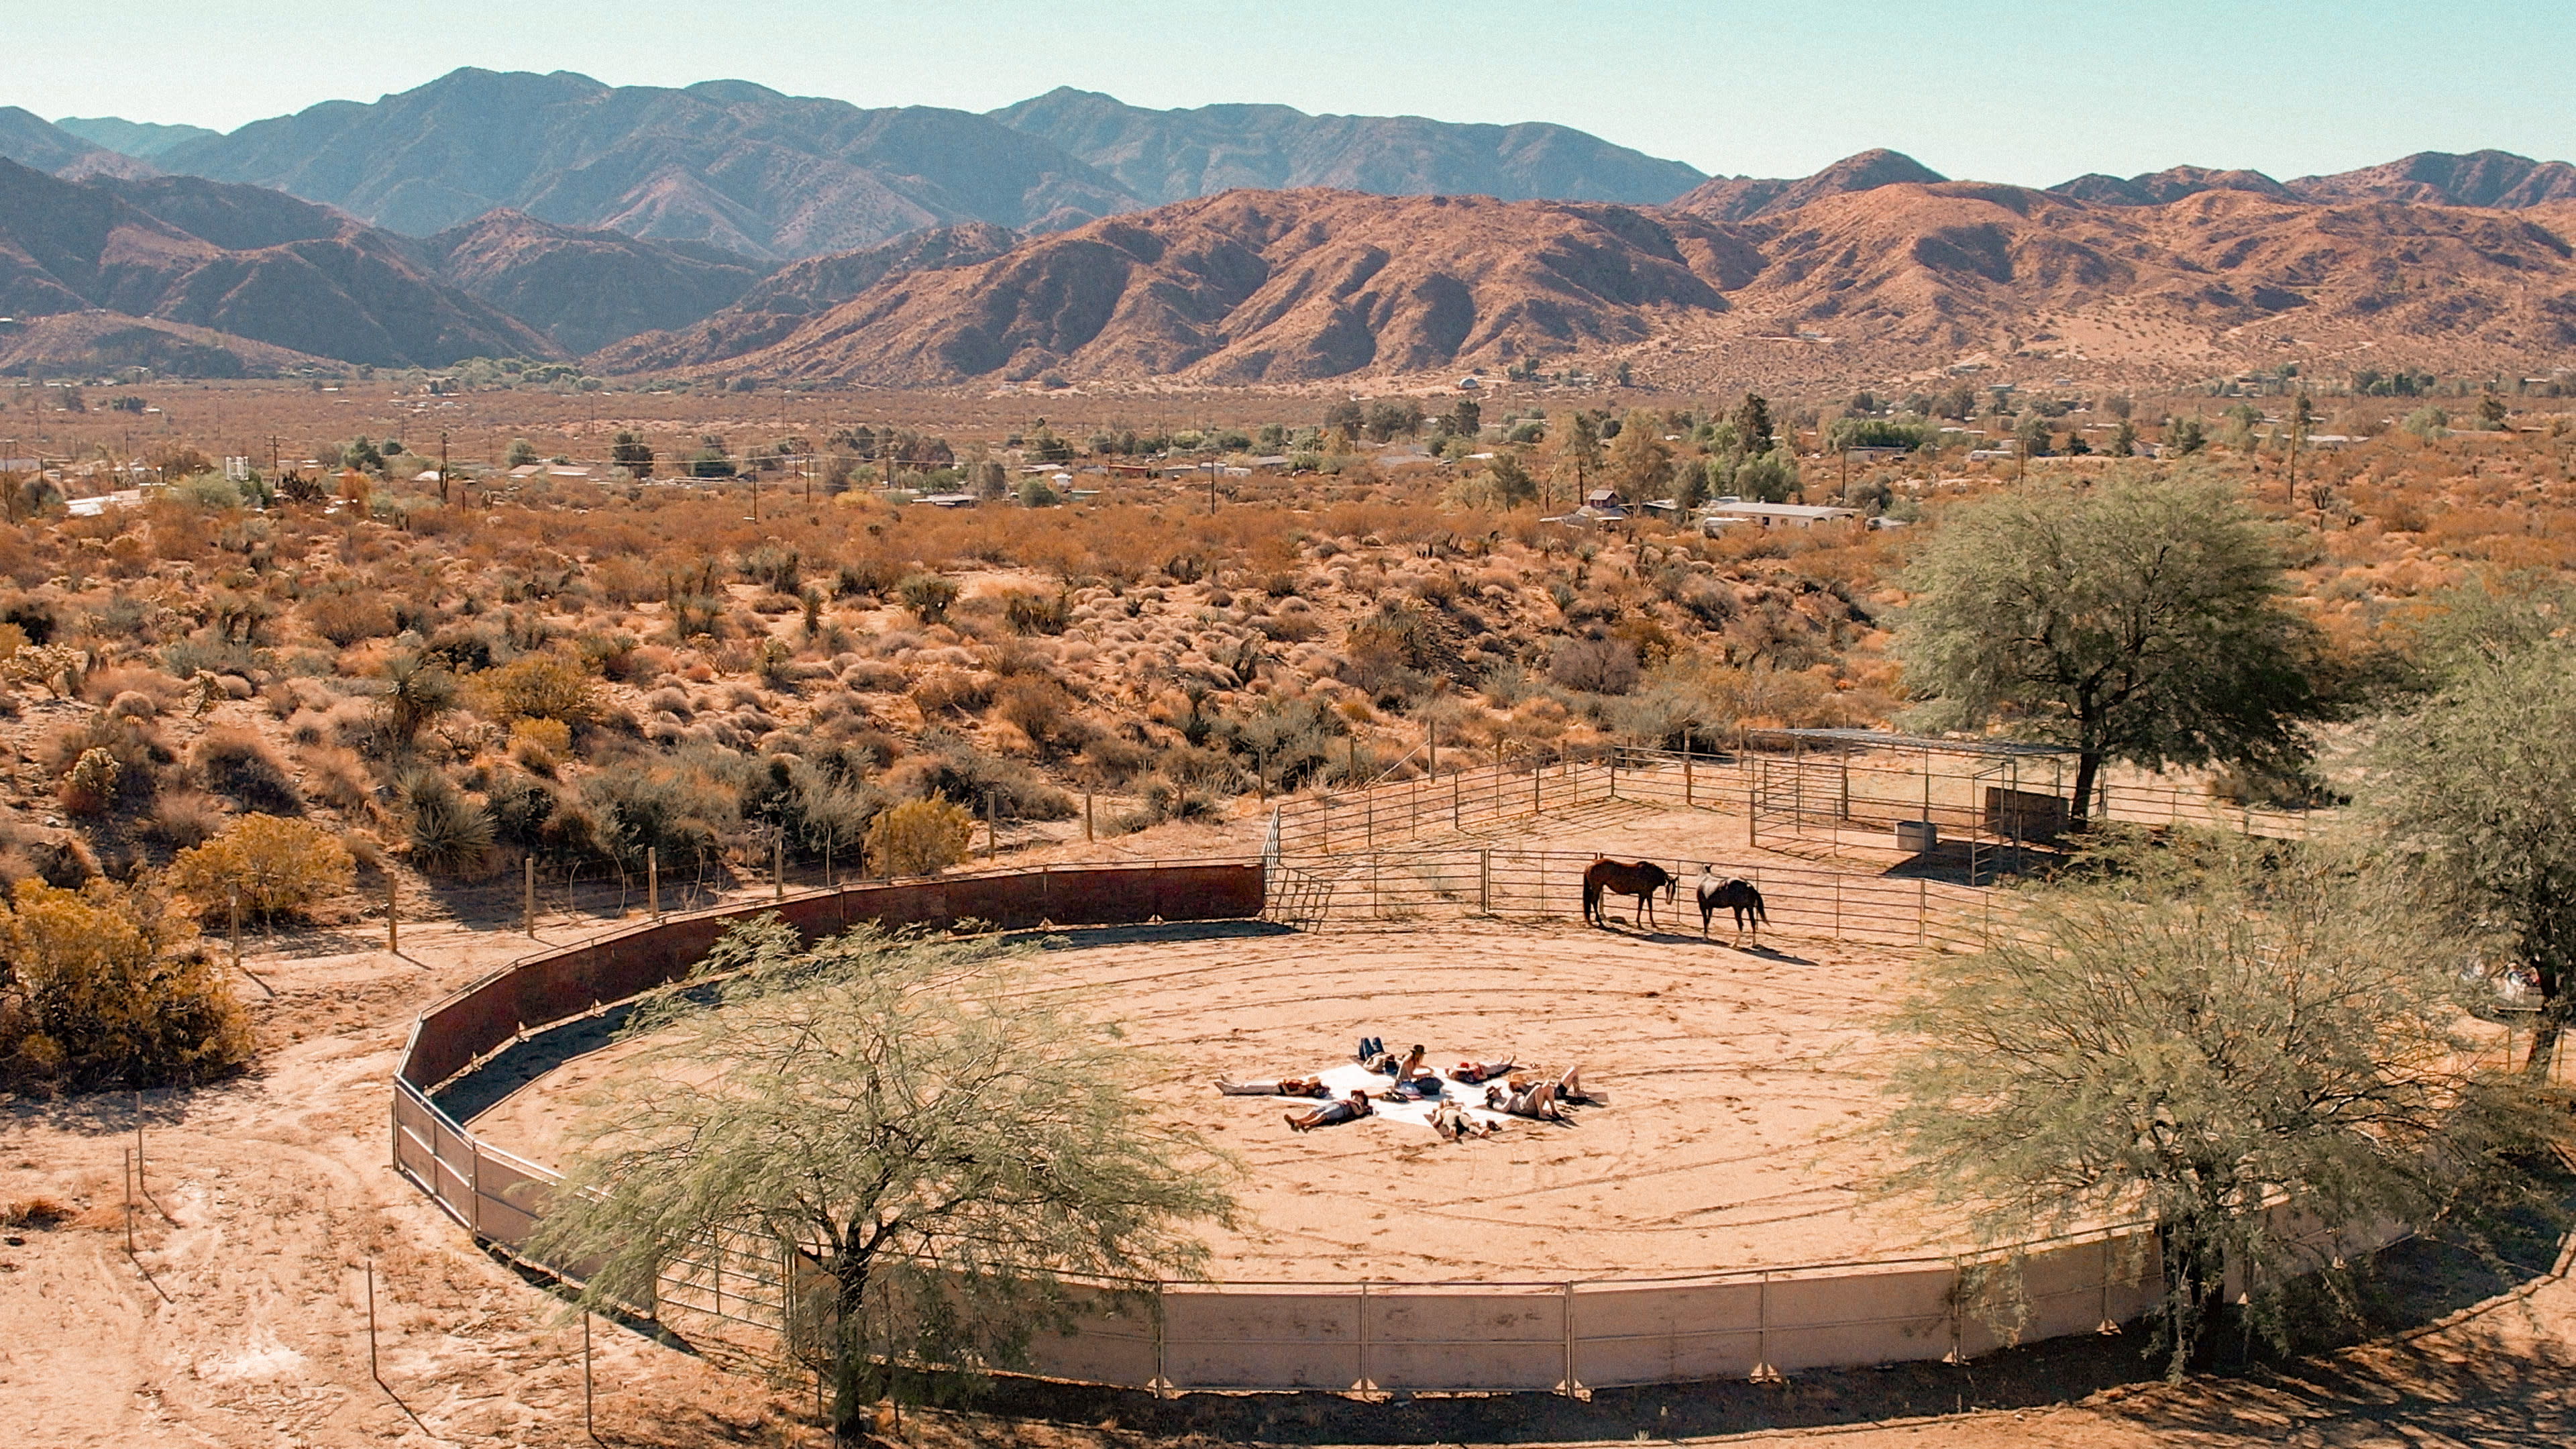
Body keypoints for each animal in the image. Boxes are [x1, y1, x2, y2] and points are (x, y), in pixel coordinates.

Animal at [1583, 858, 1675, 930]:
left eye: (1674, 890)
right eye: (1667, 889)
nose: (1669, 902)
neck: (1650, 874)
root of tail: (1590, 864)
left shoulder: (1649, 894)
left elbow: (1650, 908)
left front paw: (1654, 924)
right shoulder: (1643, 894)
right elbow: (1640, 908)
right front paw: (1639, 924)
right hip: (1596, 888)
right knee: (1594, 902)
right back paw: (1599, 922)